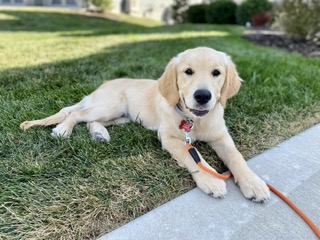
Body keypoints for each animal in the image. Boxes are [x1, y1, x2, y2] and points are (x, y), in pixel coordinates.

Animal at [20, 46, 270, 202]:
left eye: (216, 73)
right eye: (188, 72)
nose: (202, 96)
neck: (194, 120)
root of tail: (100, 87)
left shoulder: (221, 135)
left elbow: (236, 157)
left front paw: (254, 183)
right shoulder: (169, 137)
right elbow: (192, 155)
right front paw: (211, 179)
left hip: (122, 116)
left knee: (91, 121)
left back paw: (100, 134)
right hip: (110, 105)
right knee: (76, 114)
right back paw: (63, 129)